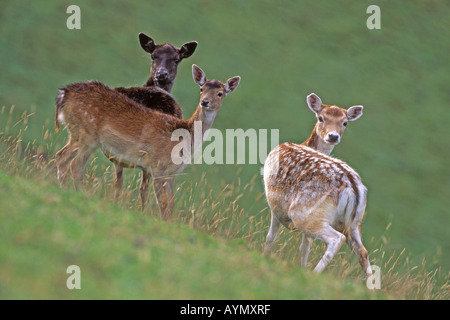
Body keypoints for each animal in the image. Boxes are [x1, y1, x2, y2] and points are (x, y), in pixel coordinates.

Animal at [54, 64, 241, 220]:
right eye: (201, 88)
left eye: (220, 93)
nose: (205, 101)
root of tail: (64, 93)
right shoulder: (158, 166)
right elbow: (163, 203)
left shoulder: (171, 172)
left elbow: (171, 203)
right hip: (88, 134)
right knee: (75, 165)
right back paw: (80, 195)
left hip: (77, 133)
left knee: (61, 156)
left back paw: (65, 190)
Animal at [262, 92, 370, 276]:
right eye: (321, 117)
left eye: (345, 122)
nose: (333, 136)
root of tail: (354, 189)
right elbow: (305, 247)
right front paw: (301, 267)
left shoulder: (276, 207)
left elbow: (271, 238)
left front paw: (264, 256)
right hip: (354, 223)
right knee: (363, 251)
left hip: (304, 212)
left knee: (337, 239)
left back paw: (316, 273)